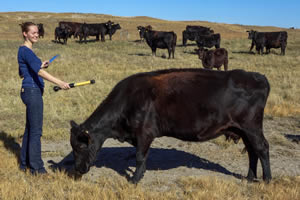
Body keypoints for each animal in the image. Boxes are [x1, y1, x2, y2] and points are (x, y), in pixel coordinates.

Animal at [69, 67, 272, 184]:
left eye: (81, 146)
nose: (77, 170)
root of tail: (256, 76)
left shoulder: (144, 133)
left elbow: (140, 157)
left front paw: (134, 180)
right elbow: (142, 157)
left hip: (251, 126)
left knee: (262, 148)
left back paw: (267, 179)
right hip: (242, 129)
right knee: (252, 150)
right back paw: (249, 177)